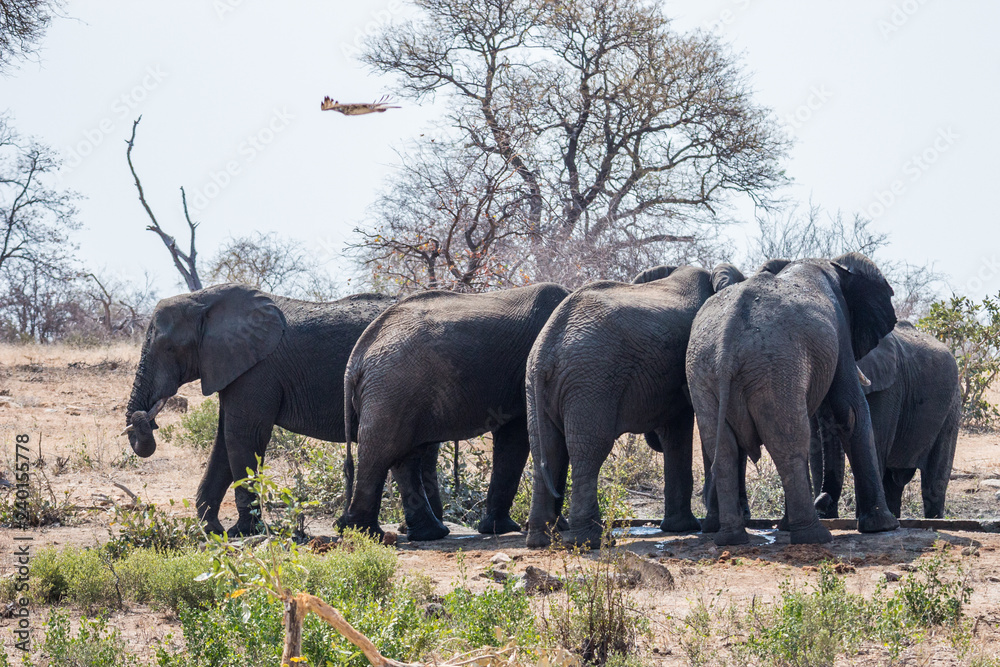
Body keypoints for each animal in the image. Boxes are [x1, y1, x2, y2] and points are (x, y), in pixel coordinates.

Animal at [123, 284, 438, 537]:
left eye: (168, 348)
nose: (144, 420)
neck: (205, 300)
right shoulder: (236, 368)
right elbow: (224, 442)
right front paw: (211, 531)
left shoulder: (257, 370)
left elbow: (243, 437)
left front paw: (242, 532)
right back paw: (421, 530)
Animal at [338, 282, 571, 541]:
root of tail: (357, 357)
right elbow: (520, 436)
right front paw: (536, 527)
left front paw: (500, 529)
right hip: (391, 389)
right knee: (381, 452)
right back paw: (368, 534)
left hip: (397, 393)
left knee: (404, 455)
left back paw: (428, 533)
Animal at [524, 264, 746, 549]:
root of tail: (545, 350)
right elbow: (683, 427)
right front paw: (694, 527)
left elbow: (673, 432)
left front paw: (680, 527)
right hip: (591, 381)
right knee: (589, 451)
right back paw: (594, 541)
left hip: (537, 385)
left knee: (547, 448)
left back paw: (540, 540)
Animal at [685, 252, 901, 545]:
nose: (824, 502)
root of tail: (727, 342)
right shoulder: (840, 325)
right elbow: (850, 409)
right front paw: (884, 526)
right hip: (774, 367)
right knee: (788, 444)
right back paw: (814, 536)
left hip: (703, 372)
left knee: (725, 448)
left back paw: (731, 539)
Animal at [810, 321, 961, 519]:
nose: (822, 501)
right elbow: (814, 452)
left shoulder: (889, 388)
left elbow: (874, 446)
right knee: (893, 485)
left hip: (952, 406)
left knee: (933, 483)